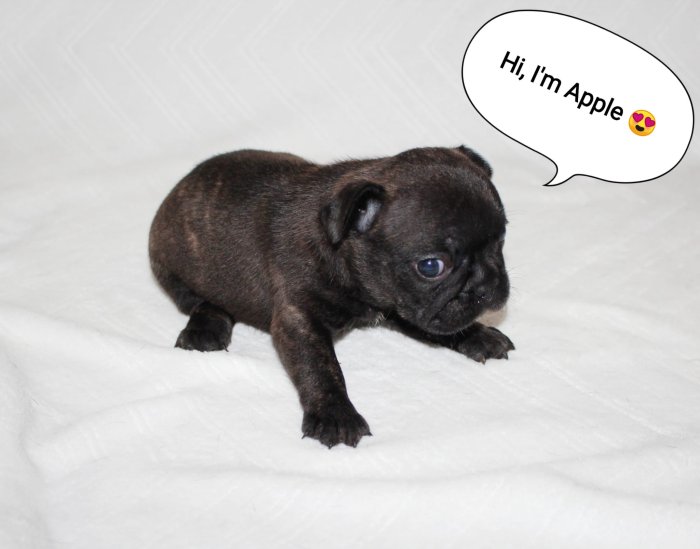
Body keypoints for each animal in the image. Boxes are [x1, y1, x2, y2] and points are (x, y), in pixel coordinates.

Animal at [149, 146, 513, 448]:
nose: (487, 284)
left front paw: (479, 336)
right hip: (173, 269)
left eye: (501, 240)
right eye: (431, 266)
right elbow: (321, 368)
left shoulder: (402, 307)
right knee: (202, 302)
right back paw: (205, 330)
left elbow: (445, 327)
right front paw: (336, 416)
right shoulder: (298, 319)